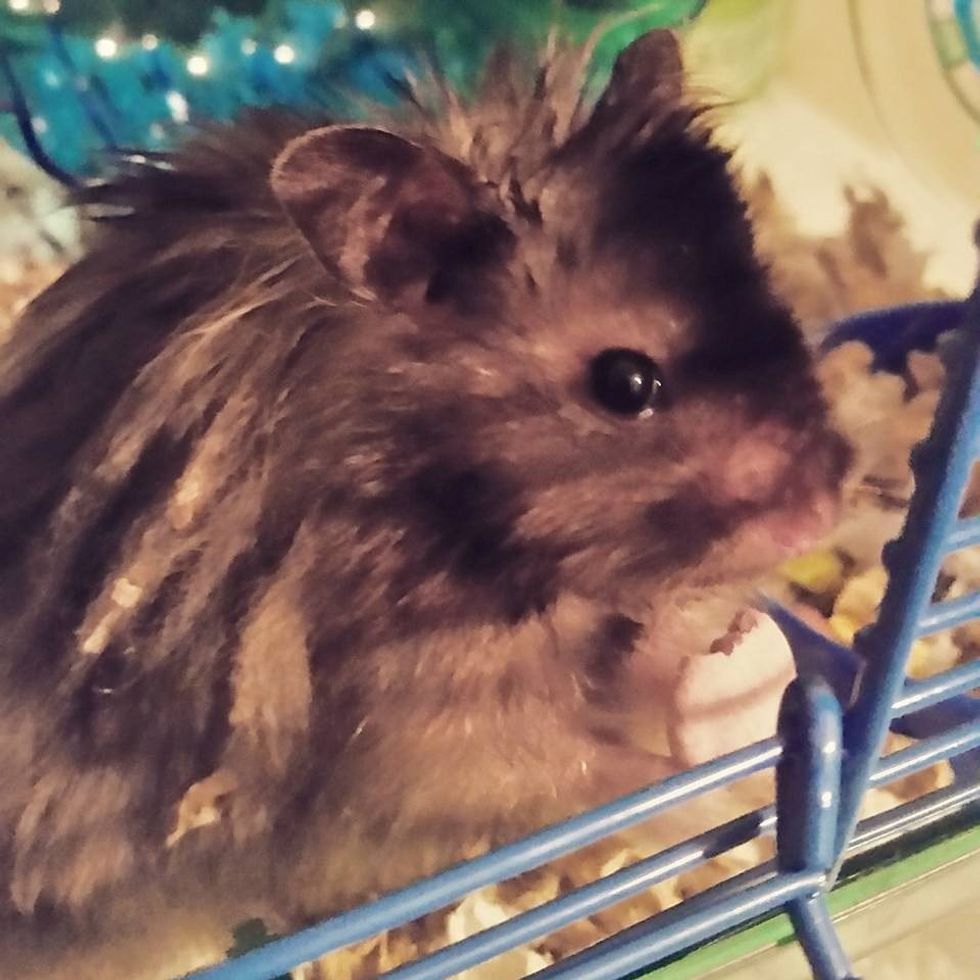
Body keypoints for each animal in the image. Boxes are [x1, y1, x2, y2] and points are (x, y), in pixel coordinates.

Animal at [0, 29, 851, 979]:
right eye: (627, 383)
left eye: (781, 310)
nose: (826, 509)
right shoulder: (423, 745)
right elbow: (601, 780)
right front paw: (725, 794)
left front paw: (724, 638)